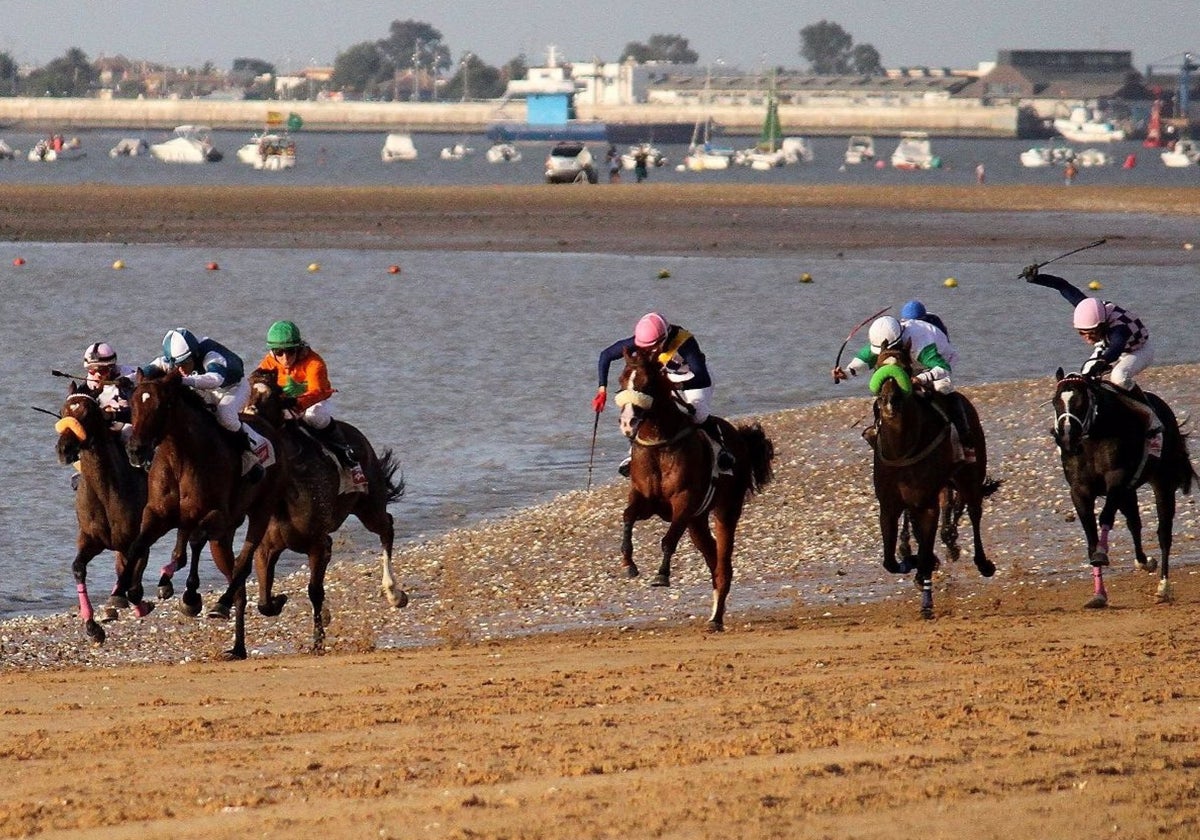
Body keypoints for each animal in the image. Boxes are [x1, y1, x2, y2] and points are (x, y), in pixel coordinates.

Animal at [121, 369, 283, 657]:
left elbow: (196, 540)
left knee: (242, 565)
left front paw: (191, 596)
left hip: (260, 511)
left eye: (163, 405)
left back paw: (221, 604)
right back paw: (237, 646)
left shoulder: (217, 514)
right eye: (134, 403)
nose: (135, 451)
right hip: (222, 537)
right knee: (233, 578)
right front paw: (128, 590)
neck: (180, 458)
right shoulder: (157, 514)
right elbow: (138, 544)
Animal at [242, 369, 408, 652]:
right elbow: (264, 601)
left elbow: (314, 591)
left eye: (271, 397)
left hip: (369, 506)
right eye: (246, 391)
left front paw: (318, 639)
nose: (248, 416)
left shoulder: (319, 544)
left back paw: (394, 593)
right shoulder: (266, 547)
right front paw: (280, 600)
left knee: (387, 526)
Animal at [614, 345, 772, 628]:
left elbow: (668, 540)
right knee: (713, 559)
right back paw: (715, 613)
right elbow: (628, 515)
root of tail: (741, 438)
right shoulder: (645, 499)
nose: (628, 422)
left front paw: (661, 575)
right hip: (697, 522)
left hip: (726, 510)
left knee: (723, 562)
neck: (660, 444)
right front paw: (628, 562)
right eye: (621, 381)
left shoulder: (684, 501)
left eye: (647, 382)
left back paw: (716, 619)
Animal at [868, 345, 998, 619]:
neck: (902, 451)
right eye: (877, 367)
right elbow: (890, 561)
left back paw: (983, 563)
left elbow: (927, 550)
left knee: (974, 513)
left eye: (905, 368)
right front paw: (912, 561)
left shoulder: (927, 503)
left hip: (970, 476)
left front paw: (926, 601)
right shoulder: (889, 506)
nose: (889, 402)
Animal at [1051, 369, 1190, 607]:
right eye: (1055, 402)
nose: (1067, 437)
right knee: (1135, 523)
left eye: (1081, 401)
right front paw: (1099, 594)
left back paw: (1163, 588)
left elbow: (1105, 517)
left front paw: (1101, 554)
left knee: (1164, 533)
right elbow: (1091, 537)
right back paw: (1144, 562)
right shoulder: (1080, 491)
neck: (1094, 437)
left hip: (1162, 482)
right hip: (1129, 491)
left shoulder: (1116, 480)